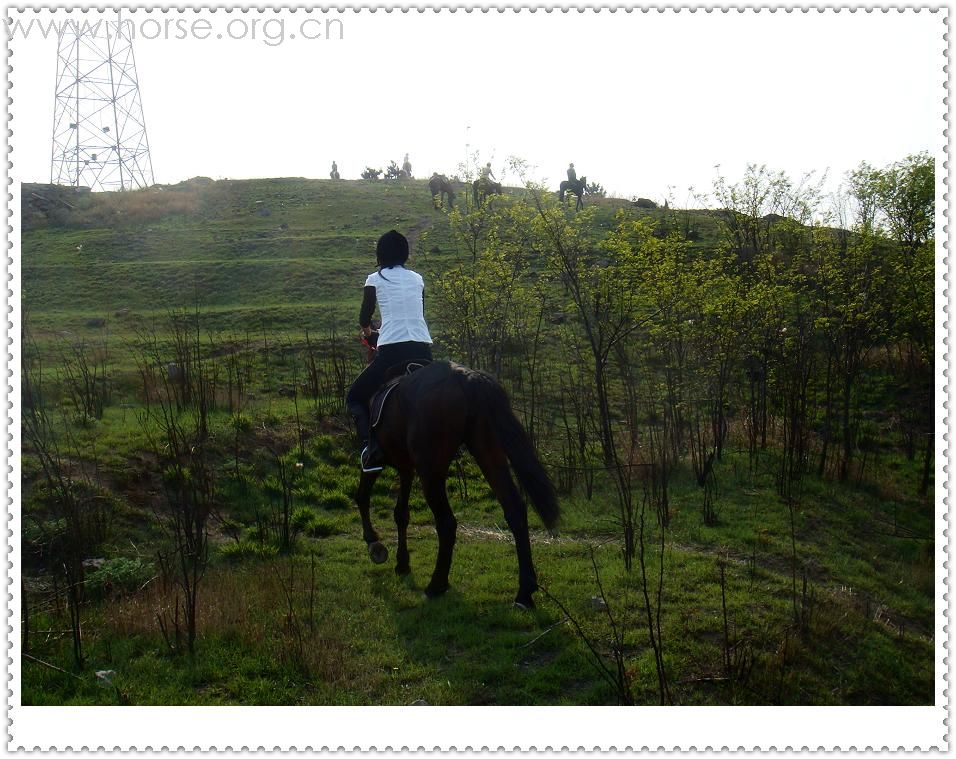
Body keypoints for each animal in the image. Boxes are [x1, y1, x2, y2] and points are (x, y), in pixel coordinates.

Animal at [354, 362, 556, 612]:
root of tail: (466, 378)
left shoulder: (377, 462)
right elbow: (401, 514)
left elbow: (363, 496)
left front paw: (373, 541)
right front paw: (402, 564)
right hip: (487, 451)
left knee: (447, 523)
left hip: (431, 472)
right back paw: (524, 593)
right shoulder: (406, 468)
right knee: (514, 508)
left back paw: (436, 585)